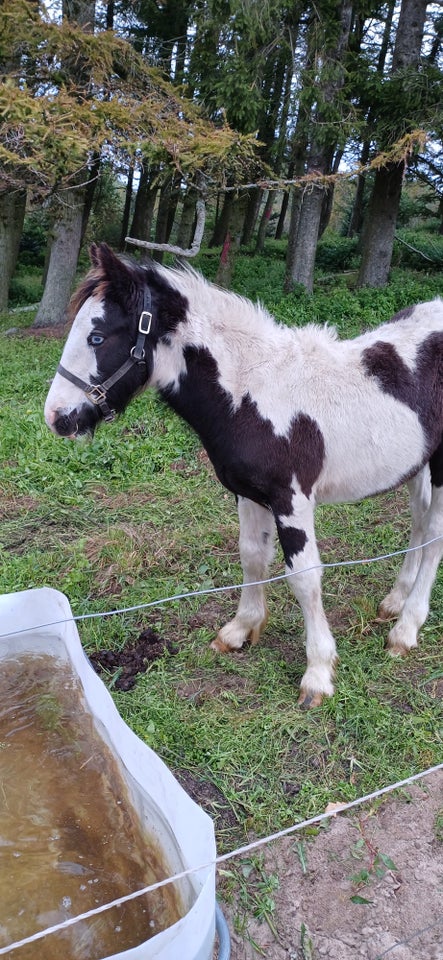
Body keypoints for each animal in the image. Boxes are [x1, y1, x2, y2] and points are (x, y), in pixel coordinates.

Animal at [44, 244, 443, 708]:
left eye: (96, 337)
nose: (57, 418)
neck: (252, 392)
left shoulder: (291, 498)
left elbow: (304, 577)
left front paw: (318, 672)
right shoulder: (249, 495)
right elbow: (252, 556)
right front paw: (240, 629)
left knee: (434, 535)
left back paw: (406, 629)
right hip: (417, 463)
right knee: (419, 524)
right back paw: (394, 602)